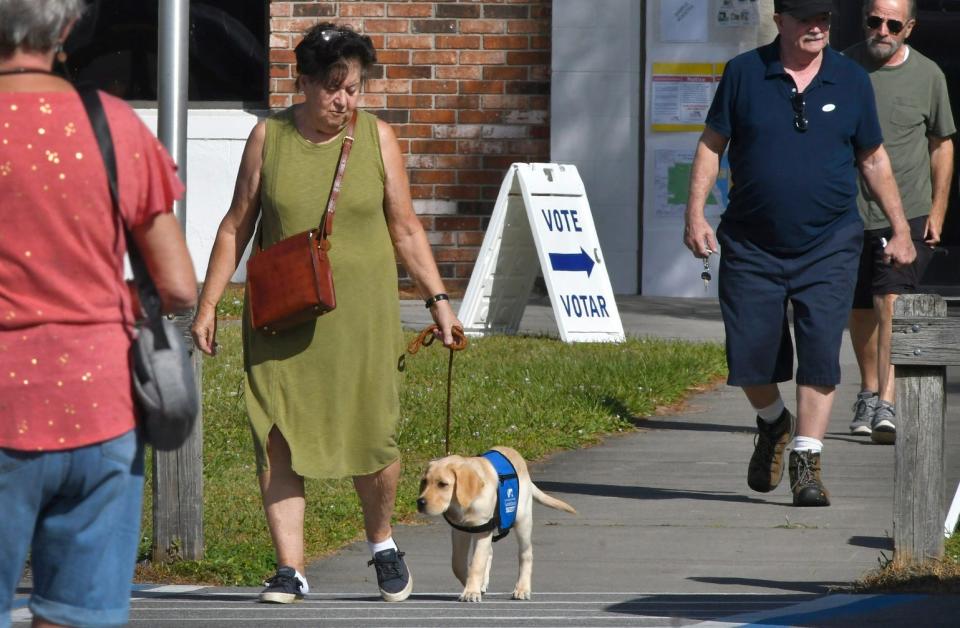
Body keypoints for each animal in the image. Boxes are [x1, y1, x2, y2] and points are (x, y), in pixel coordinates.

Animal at [416, 444, 572, 600]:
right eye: (424, 481)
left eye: (443, 484)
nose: (420, 502)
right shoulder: (461, 530)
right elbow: (458, 564)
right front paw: (474, 586)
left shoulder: (482, 529)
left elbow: (477, 563)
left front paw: (471, 591)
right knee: (490, 552)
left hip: (522, 519)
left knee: (526, 554)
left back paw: (522, 588)